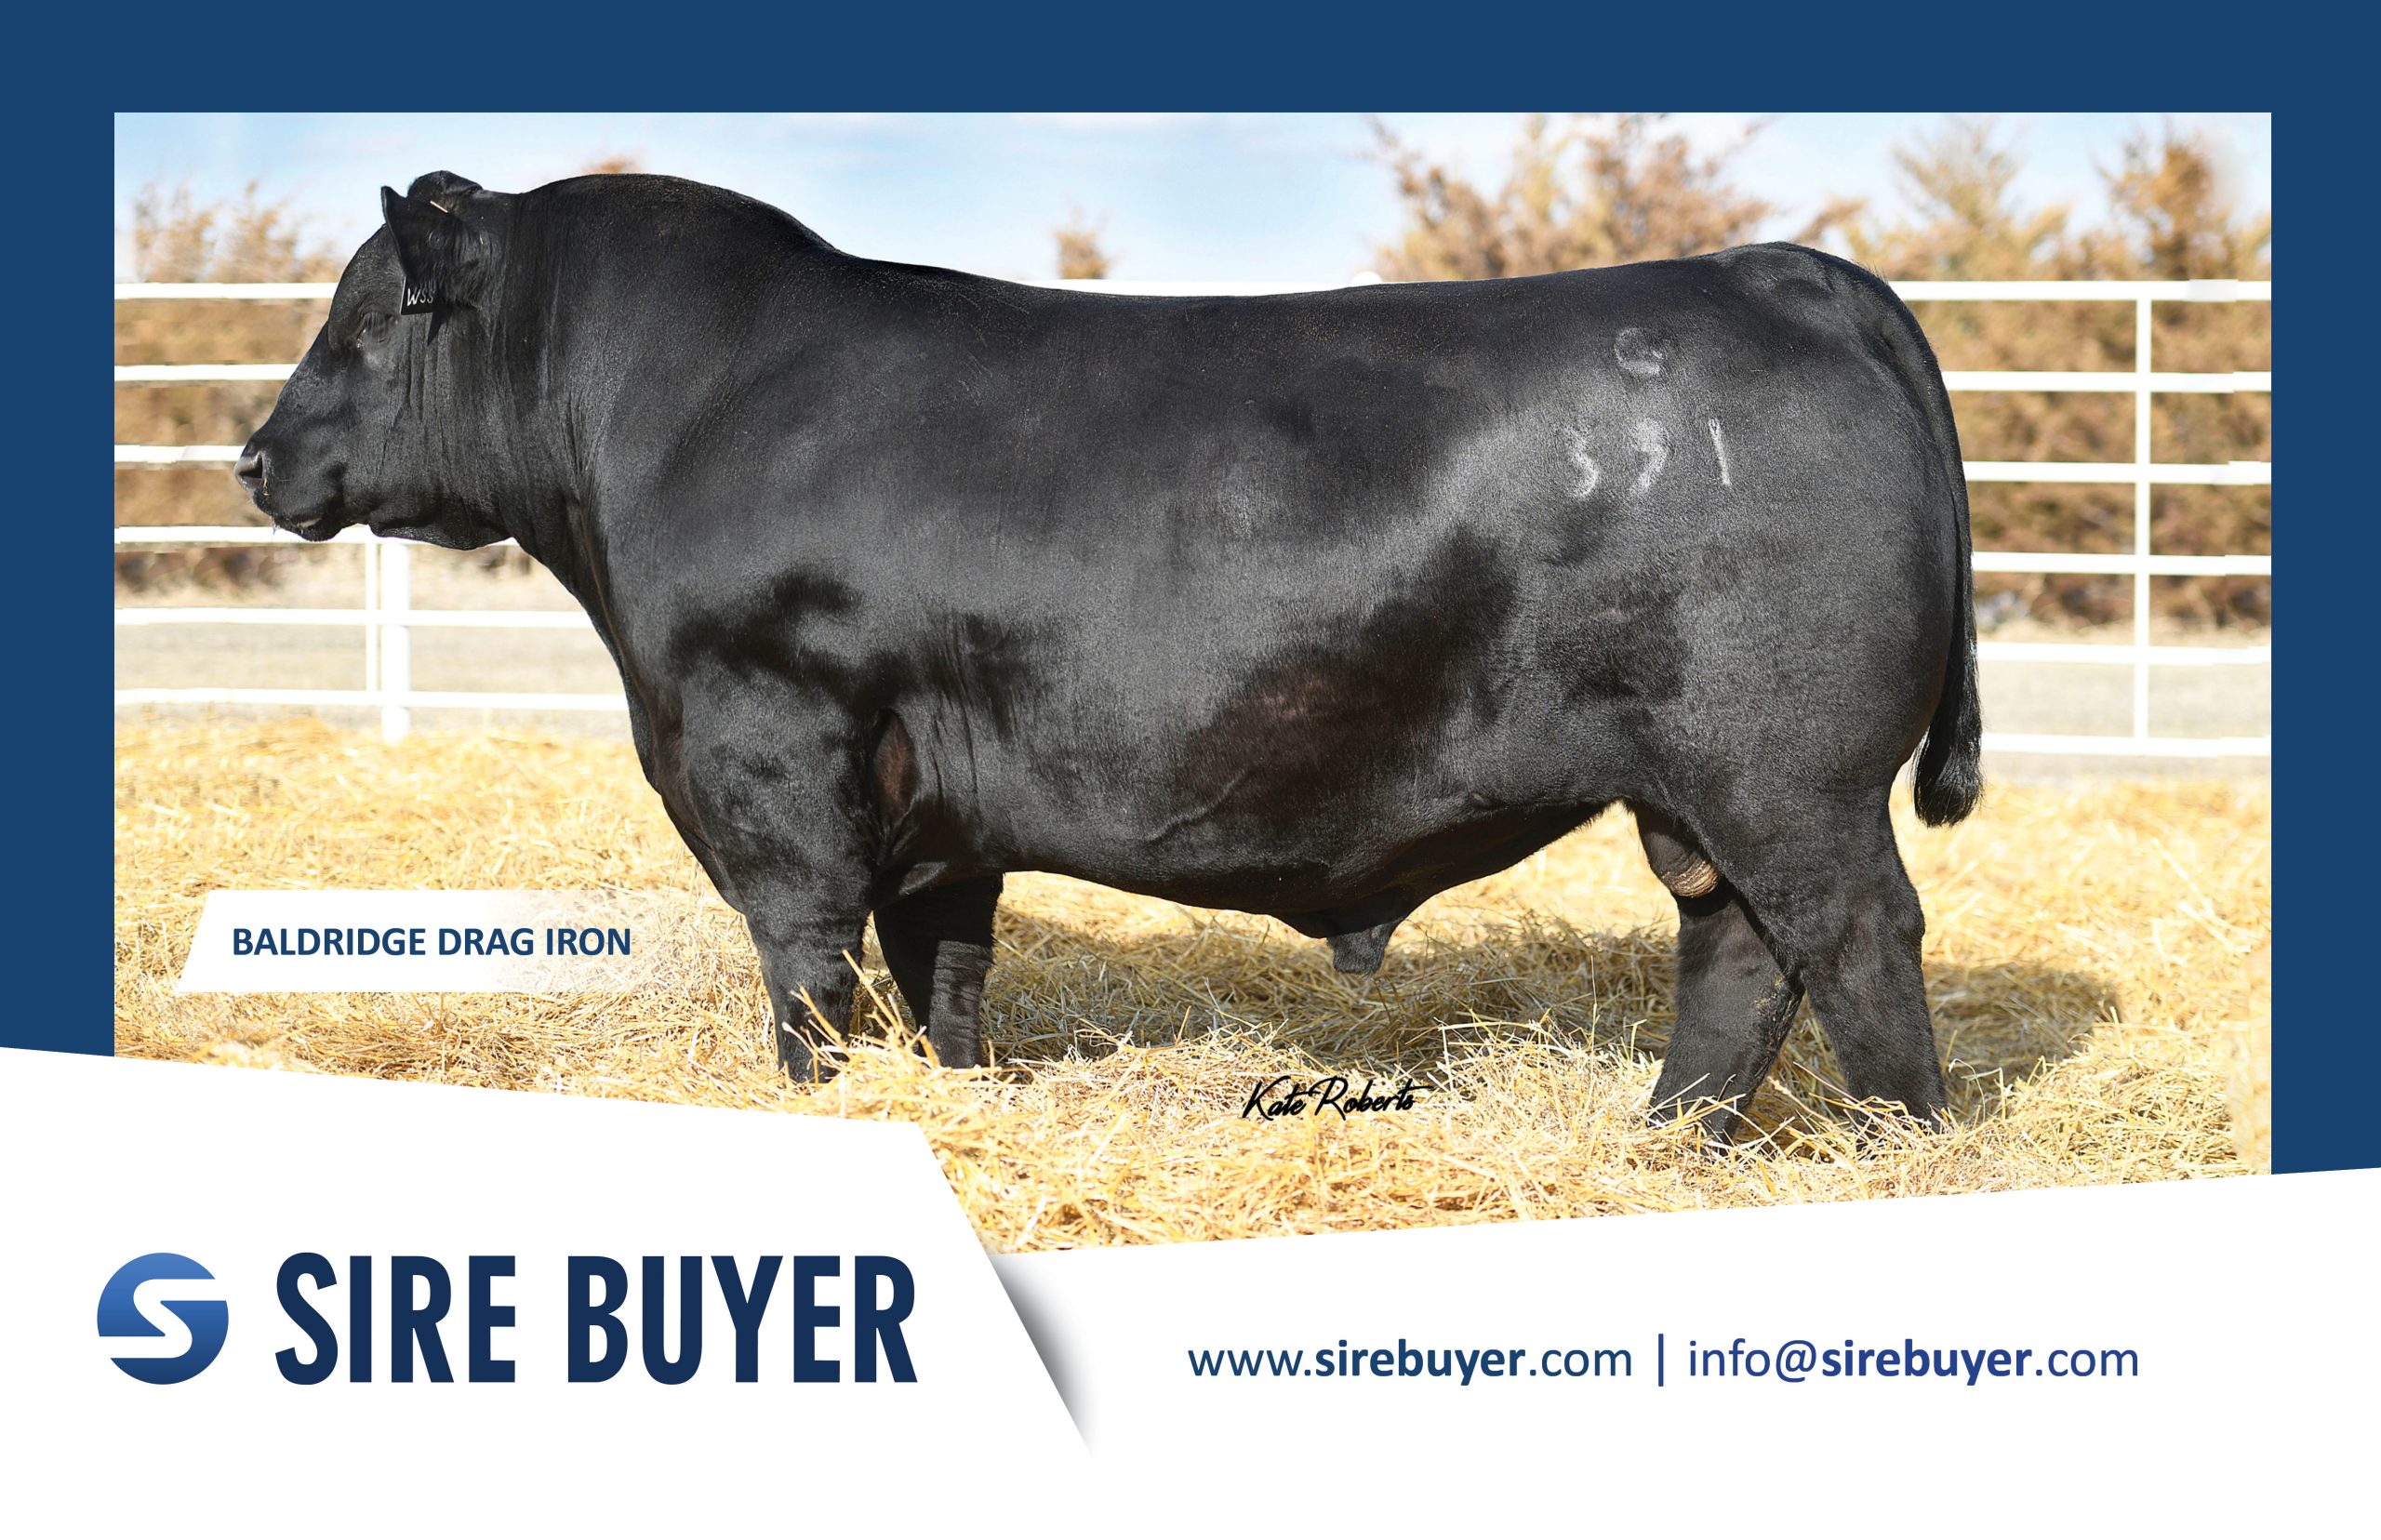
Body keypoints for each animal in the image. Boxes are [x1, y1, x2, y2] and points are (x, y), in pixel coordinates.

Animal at [237, 171, 1982, 1139]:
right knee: (1739, 954)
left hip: (1788, 771)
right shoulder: (936, 795)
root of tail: (1776, 269)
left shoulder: (768, 743)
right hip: (1701, 789)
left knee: (1856, 941)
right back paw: (1668, 1141)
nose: (254, 459)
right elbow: (945, 971)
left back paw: (1893, 1150)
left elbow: (807, 965)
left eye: (365, 326)